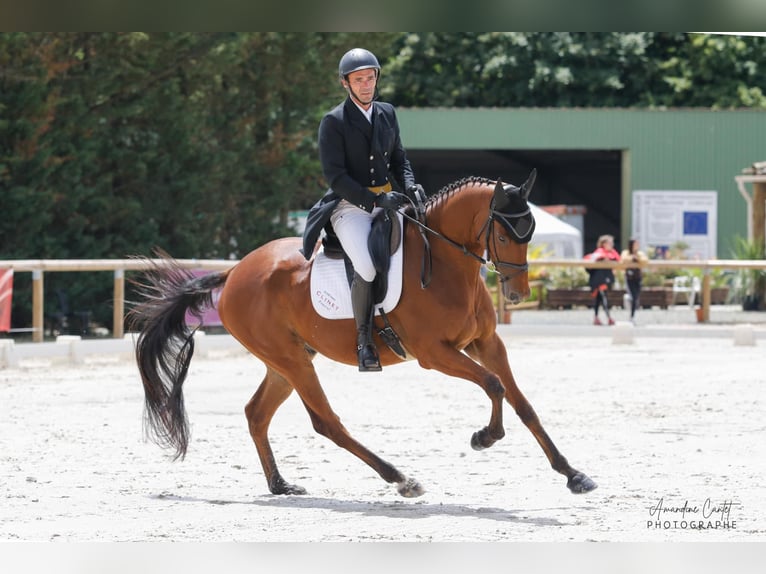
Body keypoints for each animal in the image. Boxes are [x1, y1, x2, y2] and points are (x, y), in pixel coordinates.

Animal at [130, 171, 600, 500]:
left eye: (531, 233)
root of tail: (233, 272)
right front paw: (484, 438)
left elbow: (523, 404)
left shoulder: (486, 343)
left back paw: (281, 485)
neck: (448, 264)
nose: (519, 295)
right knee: (326, 422)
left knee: (257, 414)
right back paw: (401, 479)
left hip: (288, 358)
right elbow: (494, 385)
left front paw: (573, 474)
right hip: (292, 360)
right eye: (503, 233)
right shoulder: (435, 353)